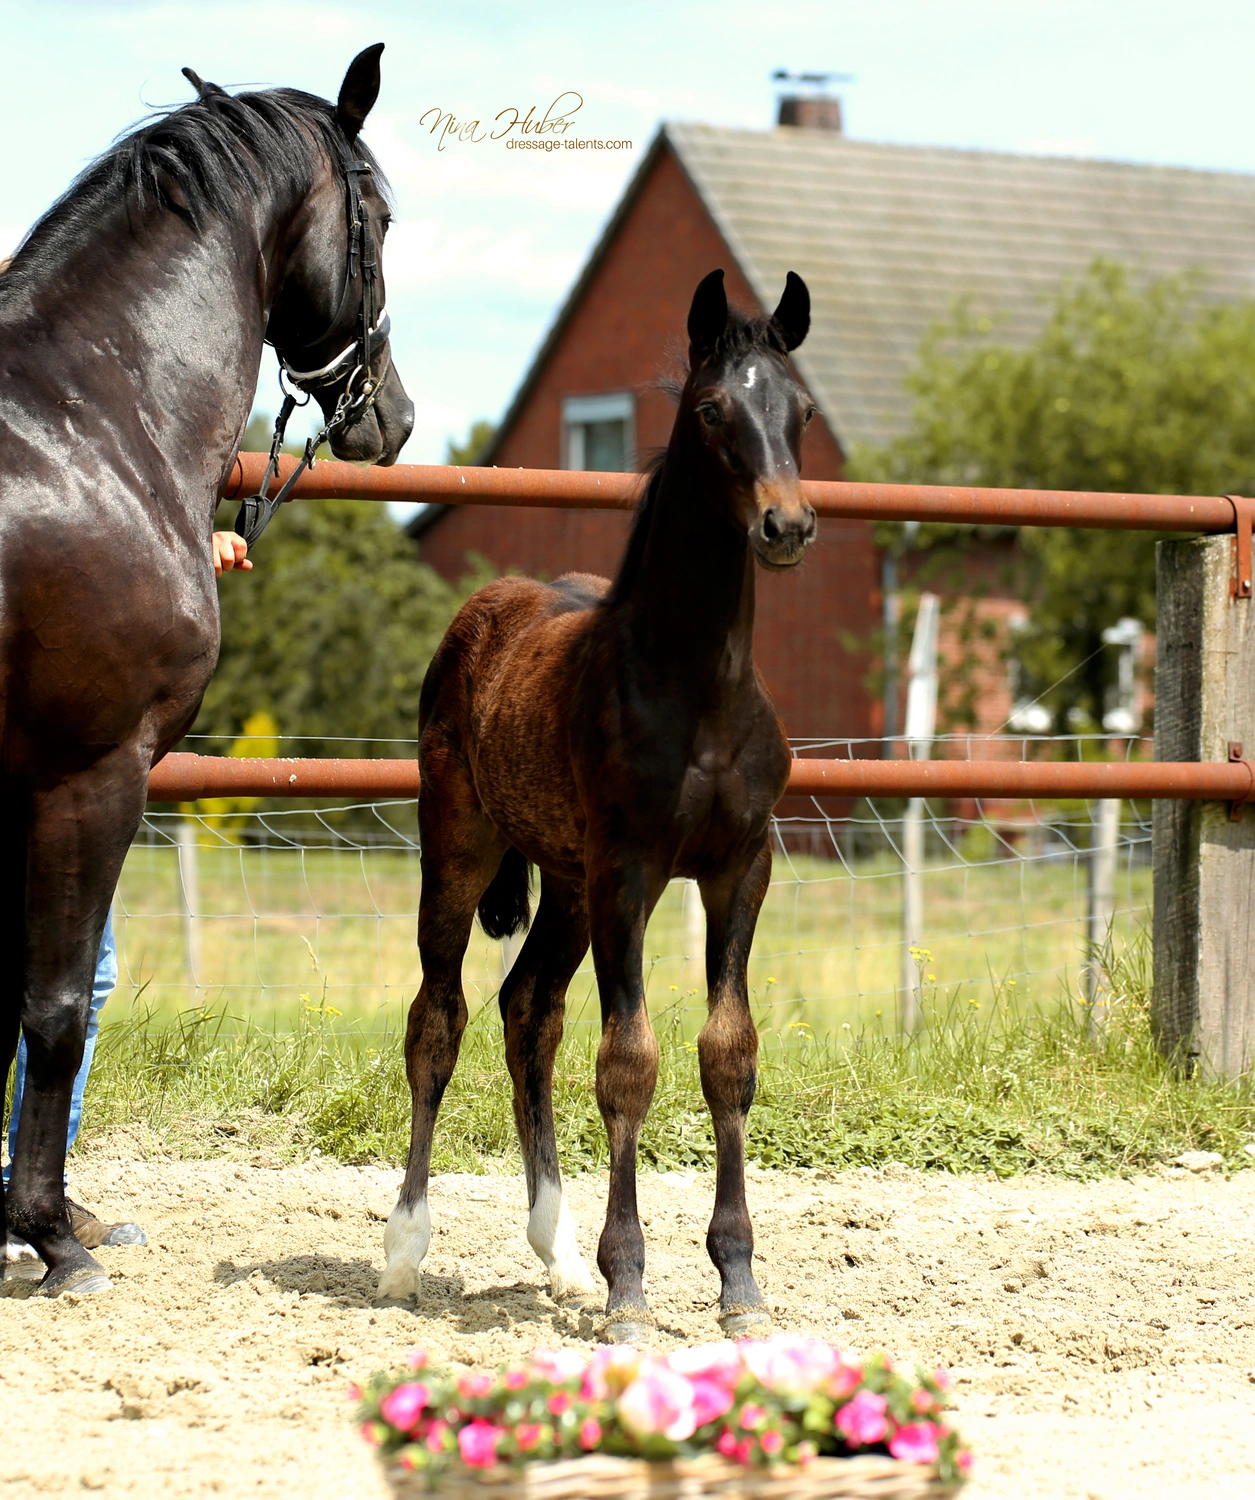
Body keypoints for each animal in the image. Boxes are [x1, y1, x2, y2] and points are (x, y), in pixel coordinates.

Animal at [0, 45, 412, 1296]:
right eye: (382, 215)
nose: (393, 414)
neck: (90, 428)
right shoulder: (90, 773)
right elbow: (52, 1011)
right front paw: (53, 1236)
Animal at [381, 268, 815, 1342]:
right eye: (712, 410)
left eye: (800, 410)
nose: (786, 526)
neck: (696, 687)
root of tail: (481, 612)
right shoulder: (630, 873)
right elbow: (628, 1062)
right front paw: (630, 1293)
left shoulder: (740, 868)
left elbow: (726, 1053)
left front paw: (737, 1282)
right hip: (460, 849)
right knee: (439, 1018)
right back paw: (405, 1250)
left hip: (568, 883)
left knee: (527, 1011)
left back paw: (559, 1250)